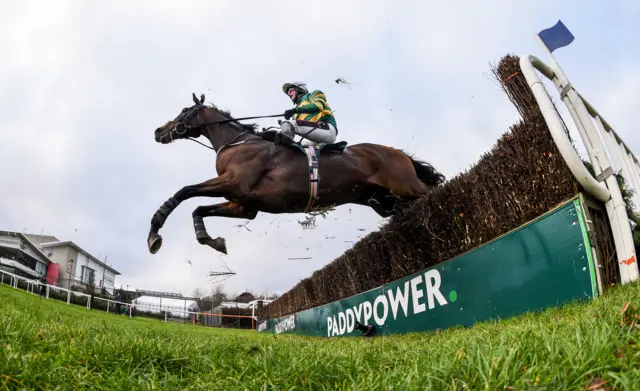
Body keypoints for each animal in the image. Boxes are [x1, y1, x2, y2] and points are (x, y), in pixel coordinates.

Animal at [148, 93, 444, 256]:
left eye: (185, 111)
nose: (158, 131)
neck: (237, 143)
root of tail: (398, 153)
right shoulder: (244, 206)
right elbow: (198, 209)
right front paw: (211, 240)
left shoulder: (235, 184)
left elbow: (184, 192)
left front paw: (154, 233)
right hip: (383, 202)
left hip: (405, 186)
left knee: (432, 191)